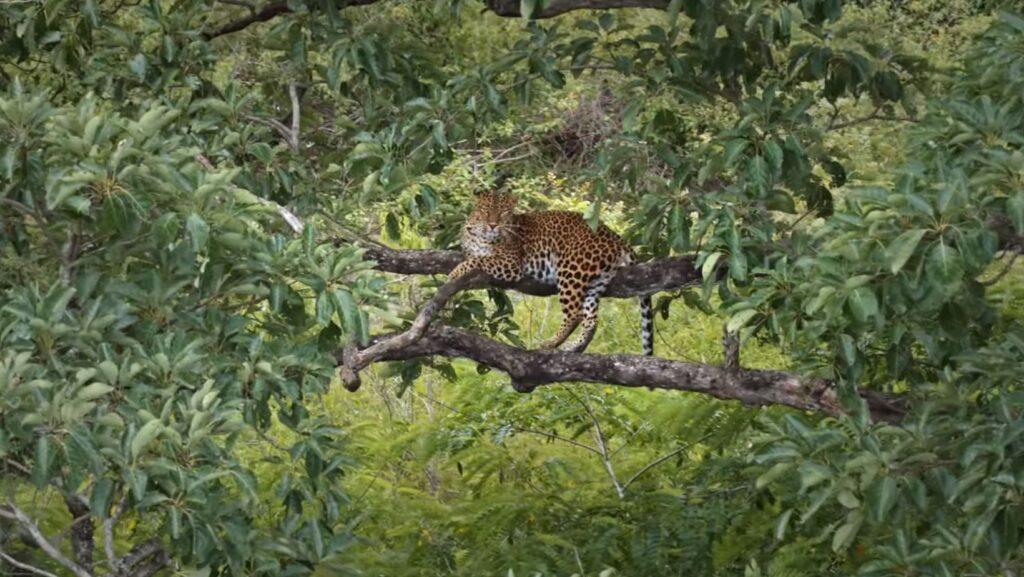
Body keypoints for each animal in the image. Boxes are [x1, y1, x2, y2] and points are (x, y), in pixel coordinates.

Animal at [450, 190, 655, 356]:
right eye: (485, 210)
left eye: (504, 212)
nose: (493, 225)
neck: (481, 235)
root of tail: (614, 236)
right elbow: (472, 255)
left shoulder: (511, 263)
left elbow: (478, 260)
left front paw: (454, 273)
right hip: (597, 282)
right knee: (591, 319)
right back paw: (573, 346)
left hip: (571, 269)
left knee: (575, 314)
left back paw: (551, 342)